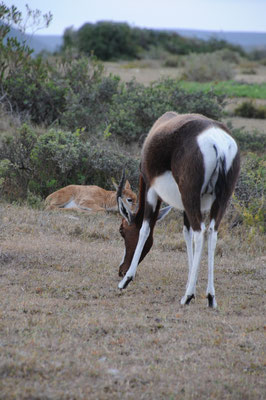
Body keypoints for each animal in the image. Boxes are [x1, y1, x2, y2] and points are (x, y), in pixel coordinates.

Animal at [117, 112, 240, 310]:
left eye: (122, 230)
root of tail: (218, 143)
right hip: (221, 199)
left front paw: (126, 281)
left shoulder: (152, 190)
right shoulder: (186, 206)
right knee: (212, 233)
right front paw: (192, 282)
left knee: (200, 232)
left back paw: (187, 297)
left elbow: (145, 229)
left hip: (190, 195)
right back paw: (210, 297)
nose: (121, 270)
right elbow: (186, 234)